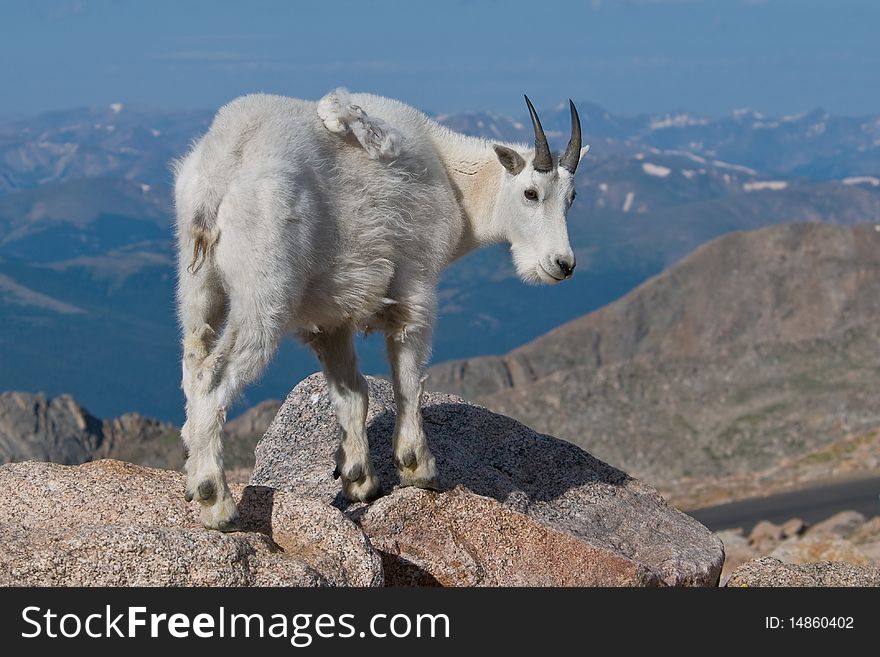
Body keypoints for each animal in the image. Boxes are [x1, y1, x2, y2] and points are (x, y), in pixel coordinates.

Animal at [173, 88, 588, 528]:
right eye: (531, 193)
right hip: (264, 293)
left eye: (572, 197)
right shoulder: (416, 287)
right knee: (212, 377)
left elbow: (352, 393)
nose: (562, 264)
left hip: (198, 286)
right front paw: (418, 468)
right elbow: (408, 379)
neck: (452, 177)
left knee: (192, 362)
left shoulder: (330, 316)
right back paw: (216, 502)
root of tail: (223, 165)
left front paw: (359, 480)